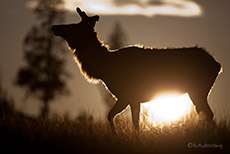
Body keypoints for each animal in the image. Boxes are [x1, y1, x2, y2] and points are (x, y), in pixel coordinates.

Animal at [51, 7, 221, 130]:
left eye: (73, 27)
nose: (54, 27)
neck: (104, 68)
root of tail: (218, 65)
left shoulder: (128, 95)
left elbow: (115, 118)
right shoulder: (132, 98)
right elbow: (128, 121)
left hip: (198, 89)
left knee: (208, 114)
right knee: (205, 113)